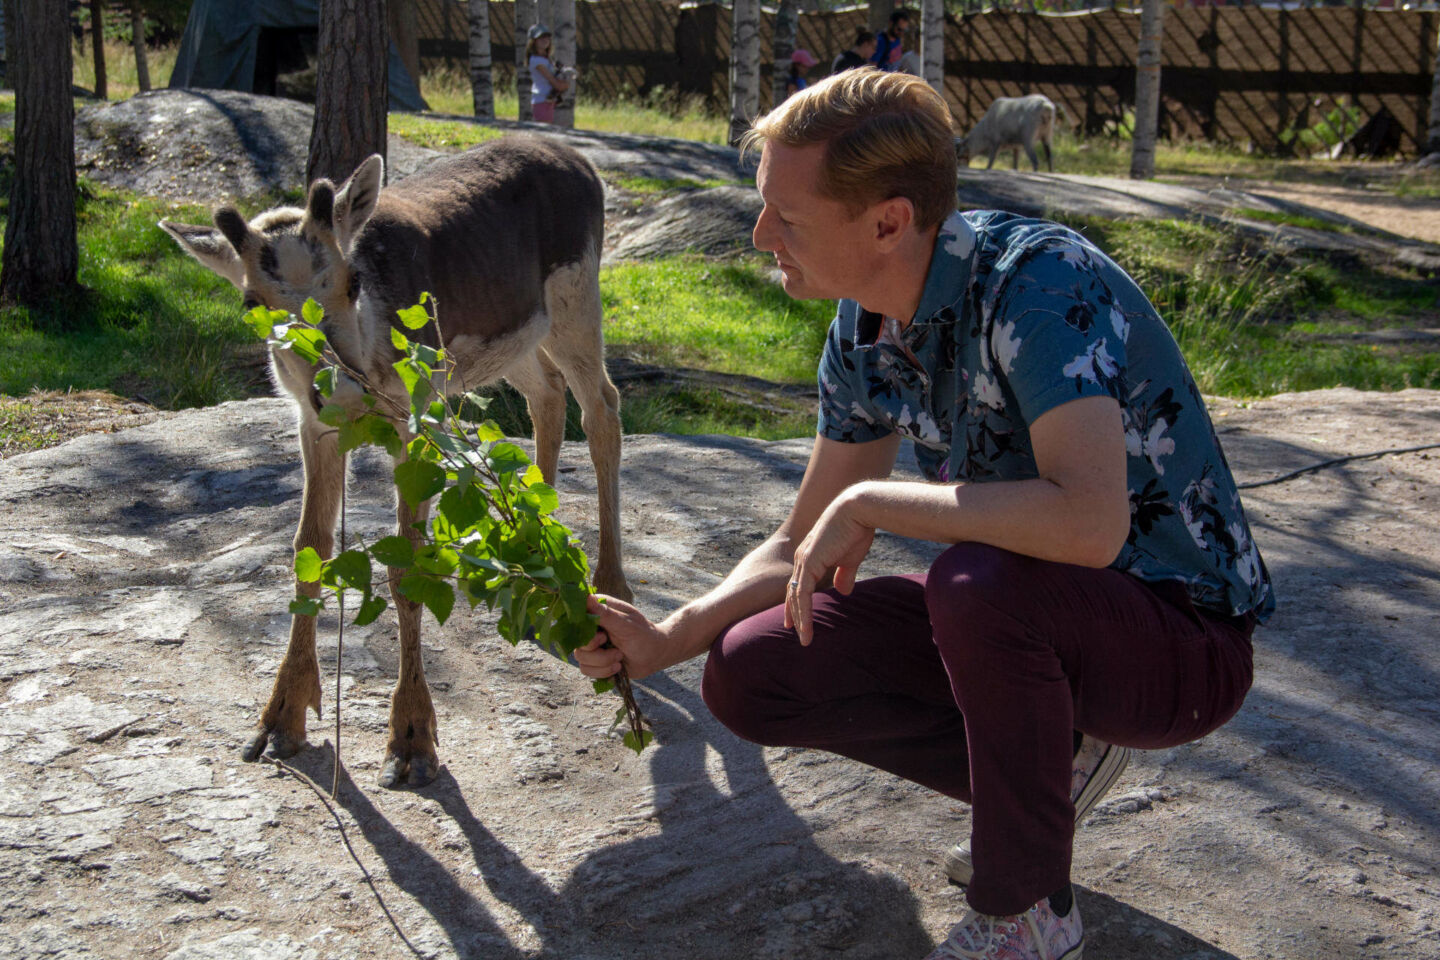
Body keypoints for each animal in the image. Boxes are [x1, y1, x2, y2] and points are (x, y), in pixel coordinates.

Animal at [160, 138, 627, 794]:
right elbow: (309, 545)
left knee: (602, 404)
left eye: (352, 279)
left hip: (577, 298)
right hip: (513, 336)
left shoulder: (415, 416)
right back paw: (535, 560)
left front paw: (411, 744)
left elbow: (408, 564)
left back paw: (609, 588)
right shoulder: (312, 424)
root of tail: (580, 159)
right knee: (547, 393)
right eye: (252, 301)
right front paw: (278, 721)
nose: (341, 389)